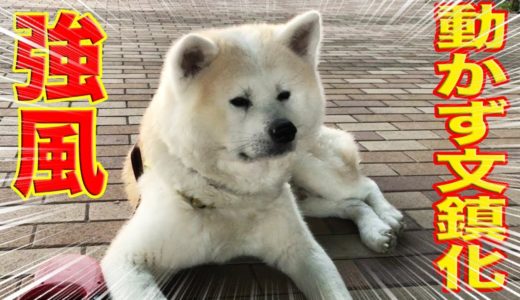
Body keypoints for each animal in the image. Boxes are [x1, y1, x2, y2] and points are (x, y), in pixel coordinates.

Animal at [100, 10, 402, 298]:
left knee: (363, 187)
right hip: (307, 199)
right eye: (240, 101)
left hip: (314, 173)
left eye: (284, 94)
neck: (231, 196)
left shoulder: (301, 250)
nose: (286, 130)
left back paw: (387, 217)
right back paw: (376, 231)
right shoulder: (128, 258)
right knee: (350, 203)